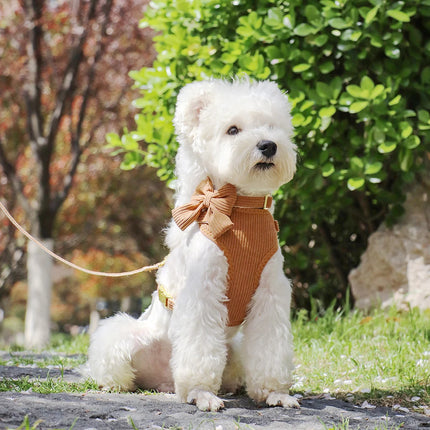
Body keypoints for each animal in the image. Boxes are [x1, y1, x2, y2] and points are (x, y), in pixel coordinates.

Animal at [87, 79, 298, 412]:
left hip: (234, 350)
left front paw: (275, 393)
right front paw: (202, 394)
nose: (268, 145)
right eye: (233, 130)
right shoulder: (204, 289)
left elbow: (270, 347)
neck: (240, 209)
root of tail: (163, 379)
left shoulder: (270, 292)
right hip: (121, 339)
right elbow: (200, 347)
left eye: (271, 126)